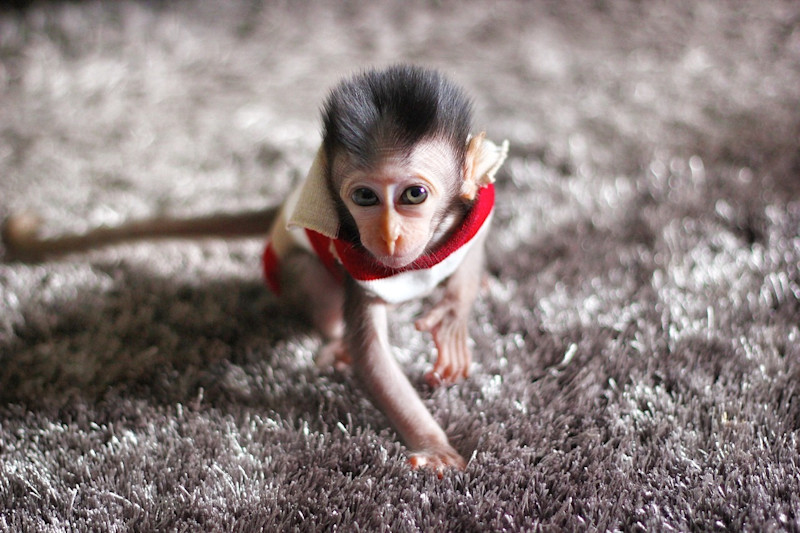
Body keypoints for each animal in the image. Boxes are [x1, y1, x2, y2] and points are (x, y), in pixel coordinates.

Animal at [2, 65, 508, 474]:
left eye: (413, 195)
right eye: (364, 197)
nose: (387, 234)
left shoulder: (471, 207)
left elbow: (476, 236)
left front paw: (455, 312)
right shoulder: (356, 260)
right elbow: (372, 358)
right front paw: (433, 444)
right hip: (292, 269)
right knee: (309, 277)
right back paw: (333, 342)